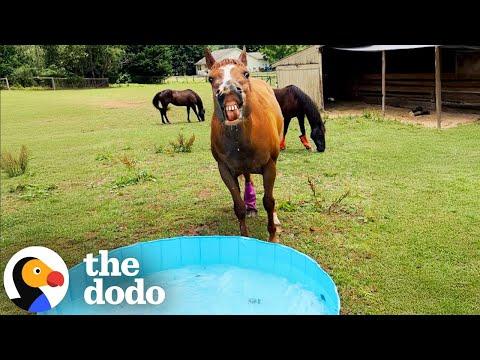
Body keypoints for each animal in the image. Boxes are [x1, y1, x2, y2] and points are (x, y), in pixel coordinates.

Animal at [207, 47, 284, 243]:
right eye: (210, 78)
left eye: (246, 73)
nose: (229, 91)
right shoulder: (224, 169)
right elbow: (238, 207)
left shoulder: (269, 166)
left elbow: (269, 201)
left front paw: (273, 235)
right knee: (248, 178)